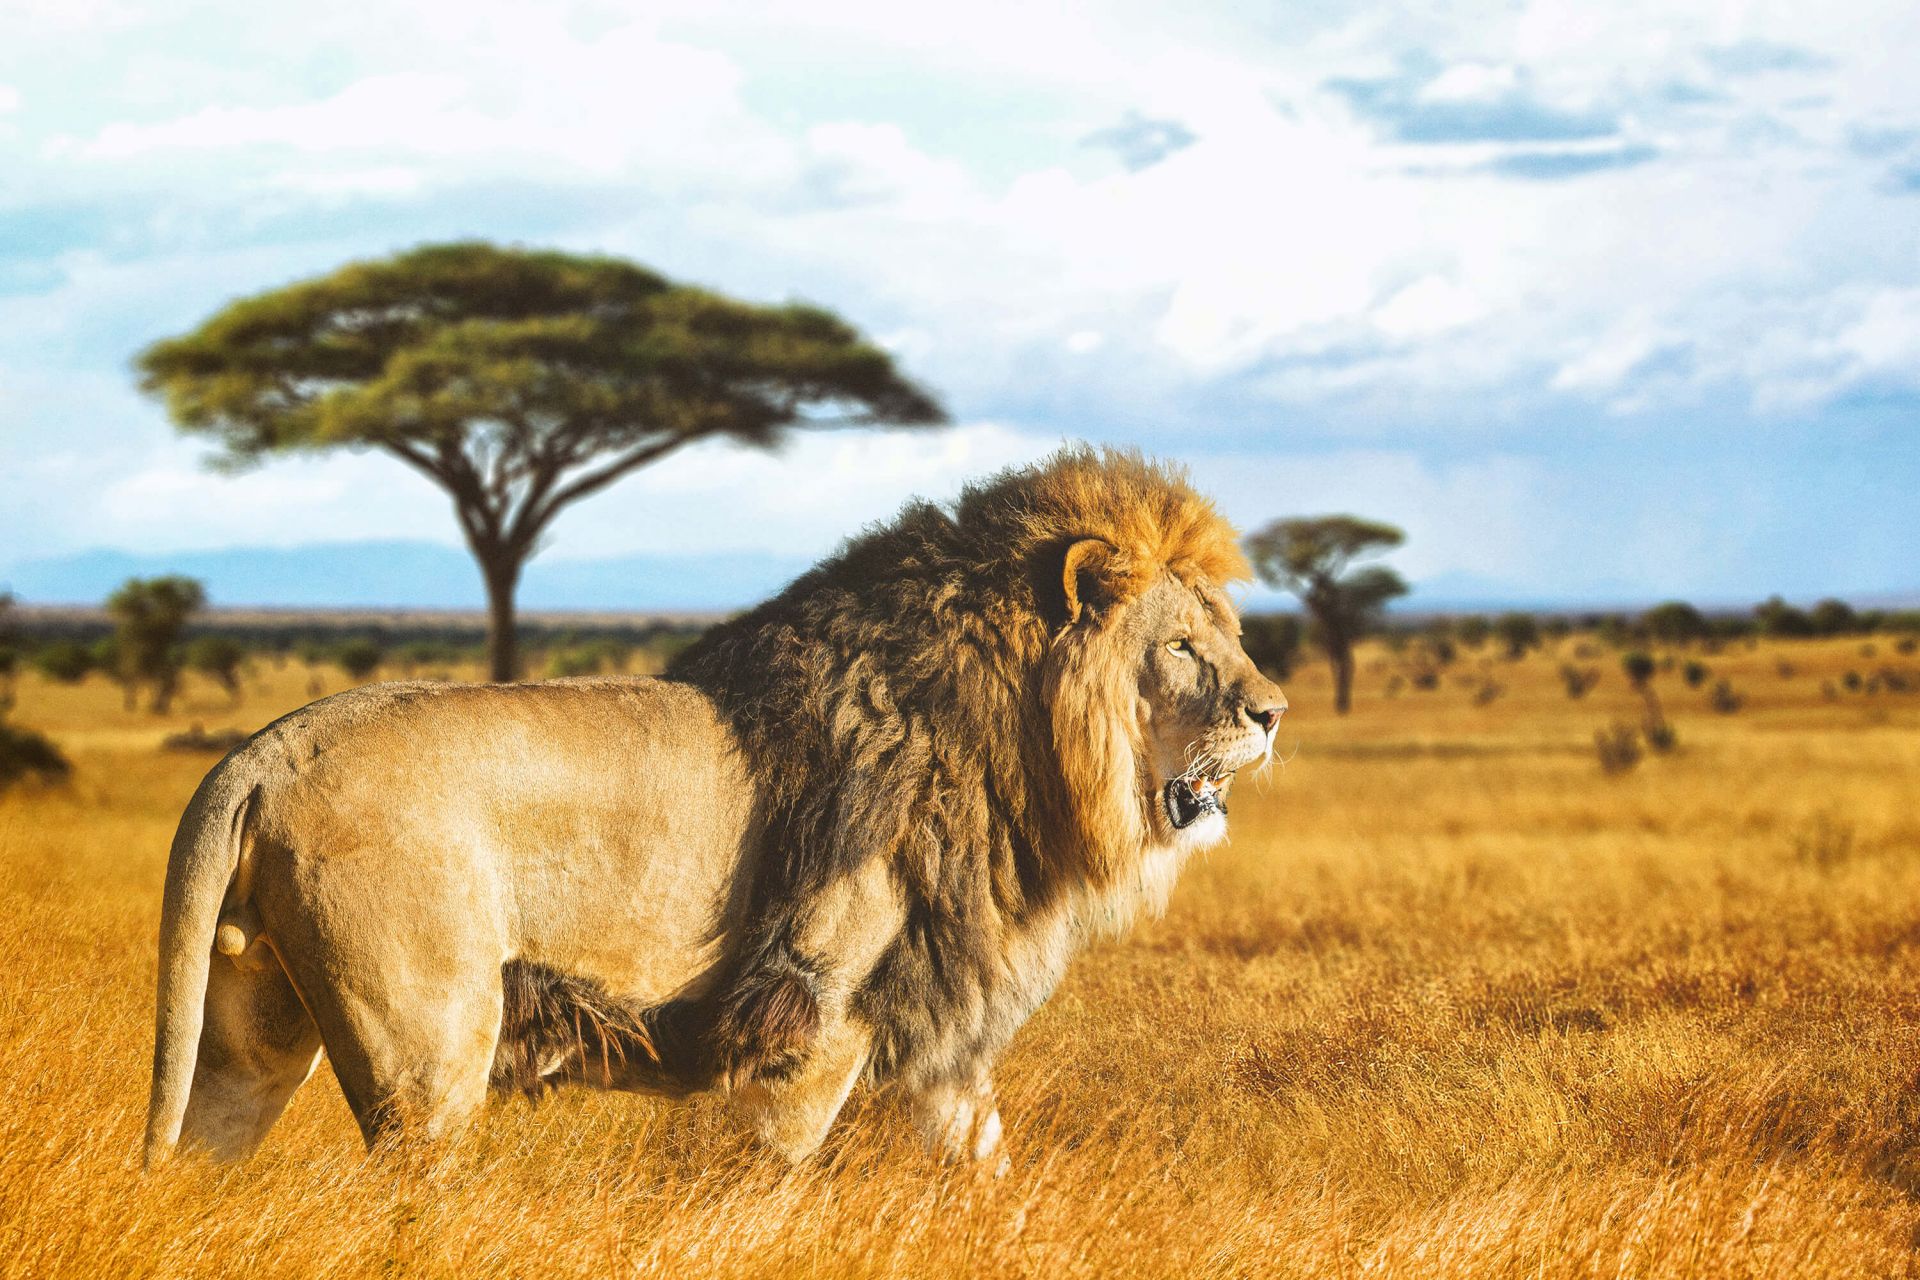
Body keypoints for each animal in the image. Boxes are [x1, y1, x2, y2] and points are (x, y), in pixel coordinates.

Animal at [145, 446, 1287, 1169]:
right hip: (428, 1056)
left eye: (1232, 635)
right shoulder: (813, 1017)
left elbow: (988, 1178)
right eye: (1182, 647)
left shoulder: (941, 1038)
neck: (1028, 755)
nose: (1273, 710)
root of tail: (261, 751)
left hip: (246, 1033)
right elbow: (758, 1185)